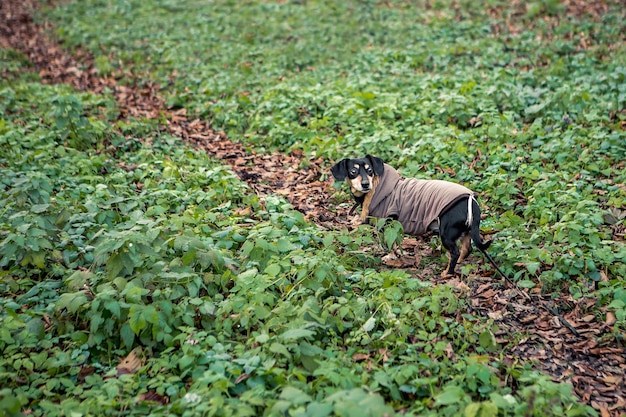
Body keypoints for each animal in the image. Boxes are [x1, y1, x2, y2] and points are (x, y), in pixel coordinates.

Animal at [330, 154, 500, 278]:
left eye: (370, 170)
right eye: (353, 172)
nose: (365, 184)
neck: (379, 188)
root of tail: (471, 201)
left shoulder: (386, 224)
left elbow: (388, 244)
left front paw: (390, 257)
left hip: (446, 233)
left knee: (456, 252)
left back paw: (447, 273)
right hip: (465, 231)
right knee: (466, 249)